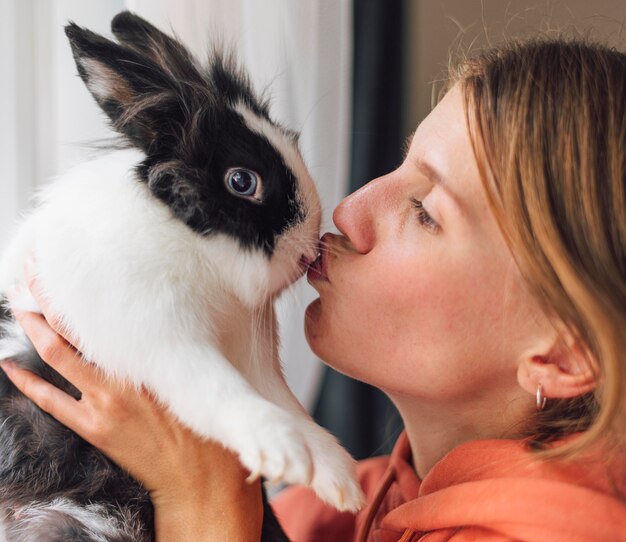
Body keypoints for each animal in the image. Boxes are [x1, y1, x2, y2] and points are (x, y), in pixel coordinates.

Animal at [0, 12, 364, 542]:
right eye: (242, 181)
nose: (307, 251)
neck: (194, 247)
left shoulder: (253, 360)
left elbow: (294, 409)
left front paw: (340, 482)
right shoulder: (165, 339)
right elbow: (220, 391)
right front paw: (284, 452)